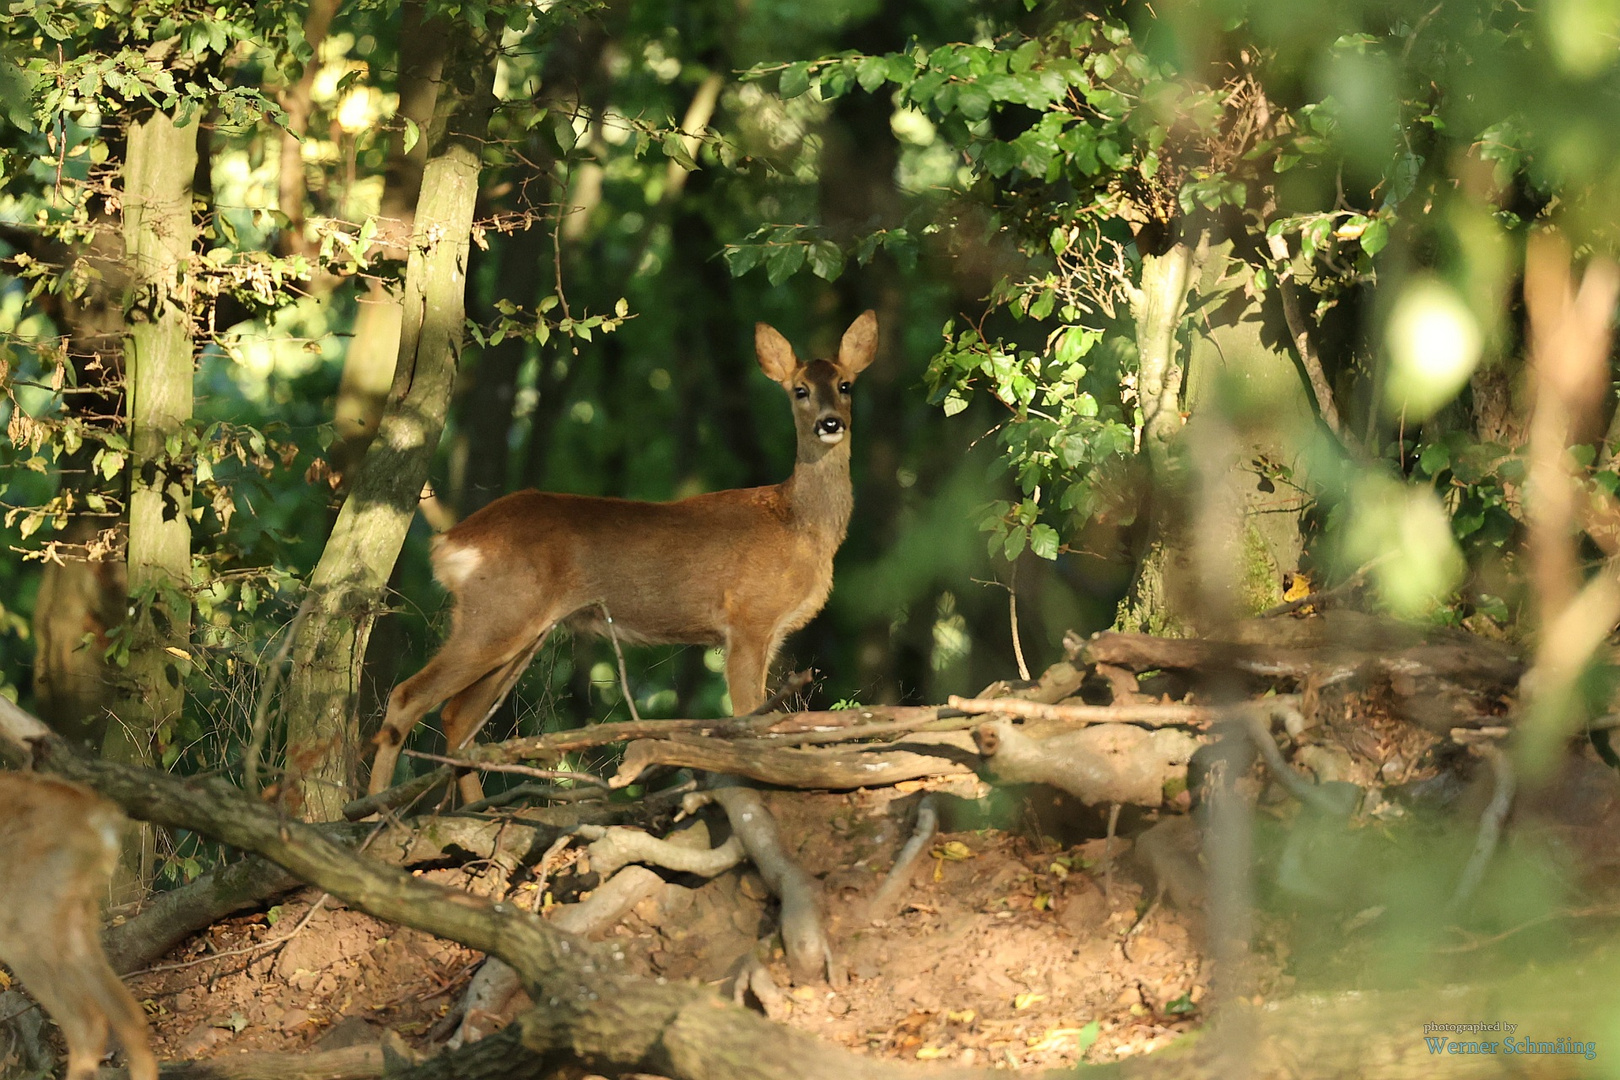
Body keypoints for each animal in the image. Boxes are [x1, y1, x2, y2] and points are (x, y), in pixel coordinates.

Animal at [369, 307, 881, 799]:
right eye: (800, 390)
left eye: (845, 385)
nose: (830, 423)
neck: (798, 522)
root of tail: (449, 541)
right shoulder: (747, 620)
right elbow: (747, 718)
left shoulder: (768, 633)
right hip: (498, 613)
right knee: (409, 696)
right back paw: (373, 812)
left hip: (519, 629)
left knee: (457, 716)